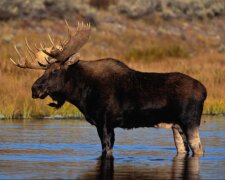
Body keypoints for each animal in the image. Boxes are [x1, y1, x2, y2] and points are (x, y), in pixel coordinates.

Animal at [11, 20, 207, 156]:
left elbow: (107, 149)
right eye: (45, 69)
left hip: (189, 121)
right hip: (176, 126)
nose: (34, 89)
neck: (82, 94)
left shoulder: (104, 121)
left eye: (55, 70)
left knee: (198, 148)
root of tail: (204, 90)